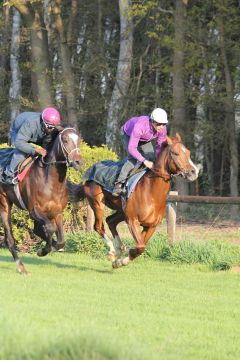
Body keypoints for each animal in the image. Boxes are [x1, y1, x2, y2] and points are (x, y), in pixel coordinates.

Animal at [0, 126, 82, 272]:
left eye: (79, 139)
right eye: (65, 140)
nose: (78, 162)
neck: (51, 181)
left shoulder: (57, 212)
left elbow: (61, 240)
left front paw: (51, 247)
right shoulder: (34, 211)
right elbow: (49, 228)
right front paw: (43, 250)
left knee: (36, 230)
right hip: (4, 203)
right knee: (9, 238)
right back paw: (21, 267)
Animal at [68, 134, 199, 268]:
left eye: (188, 153)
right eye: (176, 153)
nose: (194, 172)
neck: (151, 193)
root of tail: (90, 169)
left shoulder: (151, 226)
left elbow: (141, 246)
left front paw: (121, 259)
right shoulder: (132, 221)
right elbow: (140, 247)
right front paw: (121, 260)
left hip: (122, 210)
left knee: (110, 221)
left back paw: (119, 248)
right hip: (98, 204)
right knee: (99, 226)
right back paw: (112, 250)